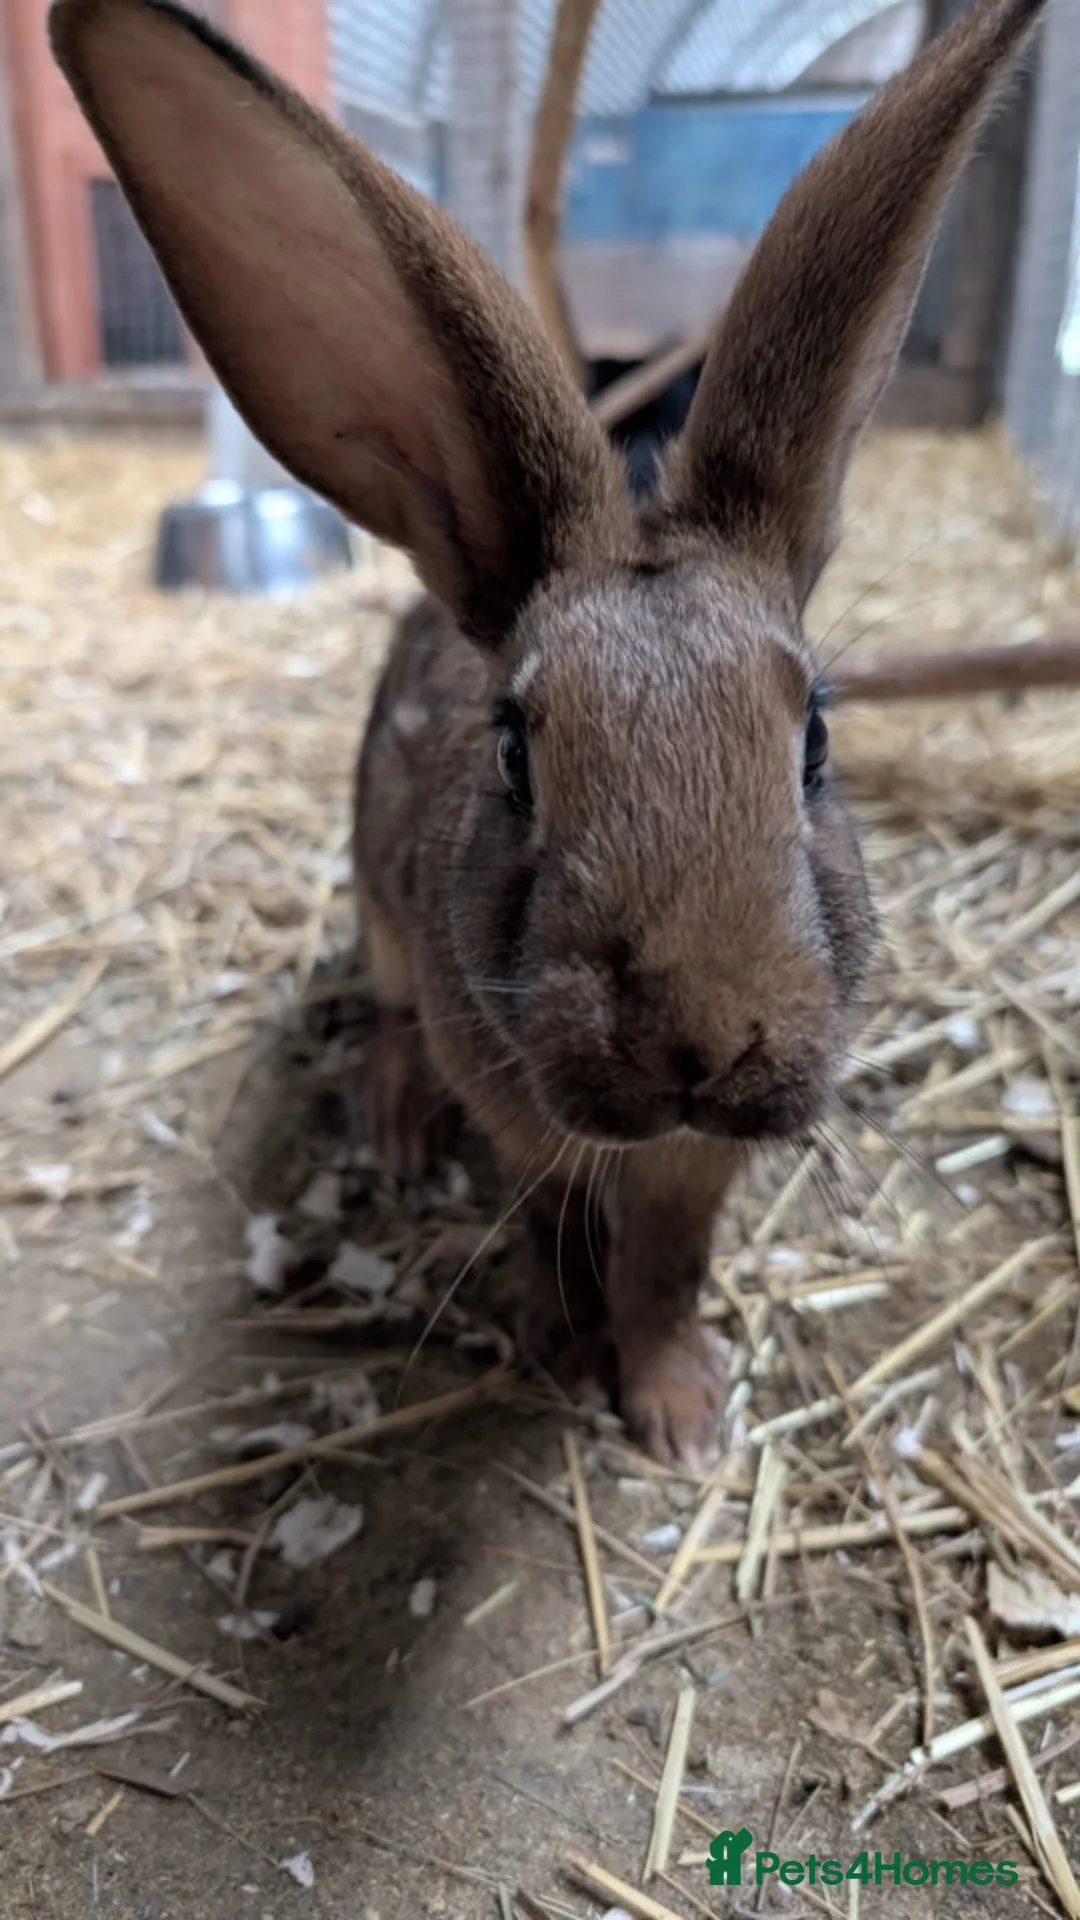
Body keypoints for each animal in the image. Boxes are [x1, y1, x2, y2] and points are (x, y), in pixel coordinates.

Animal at [51, 0, 1050, 1464]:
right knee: (388, 1019)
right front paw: (576, 1360)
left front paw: (679, 1412)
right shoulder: (524, 1118)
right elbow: (561, 1231)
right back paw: (400, 1126)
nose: (708, 1039)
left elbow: (671, 1262)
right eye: (518, 751)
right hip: (386, 929)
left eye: (813, 742)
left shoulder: (698, 1164)